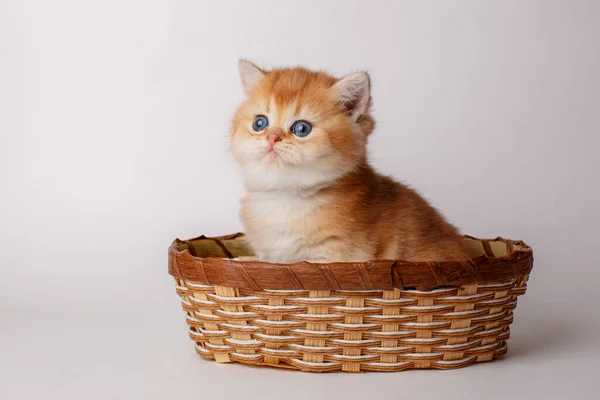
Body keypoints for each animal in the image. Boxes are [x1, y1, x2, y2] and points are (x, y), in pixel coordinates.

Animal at [230, 61, 468, 264]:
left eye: (302, 128)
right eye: (260, 123)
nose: (272, 138)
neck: (287, 197)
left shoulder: (332, 259)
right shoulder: (269, 257)